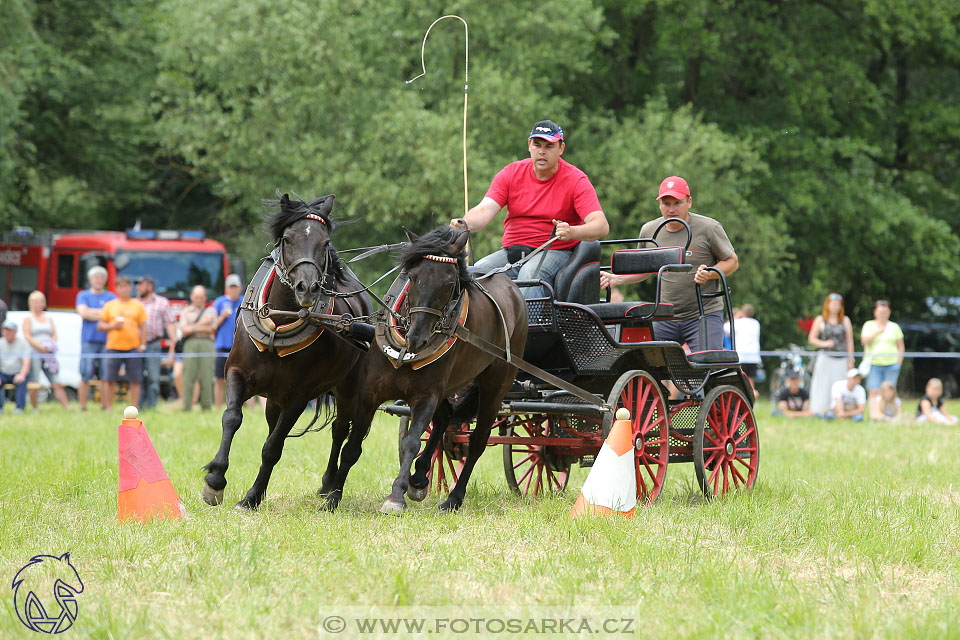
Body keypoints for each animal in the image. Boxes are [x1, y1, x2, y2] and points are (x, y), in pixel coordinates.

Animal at [201, 194, 370, 510]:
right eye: (288, 239)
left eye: (325, 242)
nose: (307, 288)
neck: (279, 322)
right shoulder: (237, 373)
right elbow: (232, 418)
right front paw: (215, 481)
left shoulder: (298, 397)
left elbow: (273, 447)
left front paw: (251, 497)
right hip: (273, 398)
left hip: (347, 388)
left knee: (340, 429)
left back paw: (330, 485)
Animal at [318, 228, 528, 512]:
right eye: (412, 277)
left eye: (450, 284)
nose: (417, 338)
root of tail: (513, 289)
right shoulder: (370, 393)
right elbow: (353, 444)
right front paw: (333, 497)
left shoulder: (425, 396)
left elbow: (411, 441)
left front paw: (395, 497)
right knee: (446, 417)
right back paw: (419, 478)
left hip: (496, 384)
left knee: (477, 441)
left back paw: (453, 498)